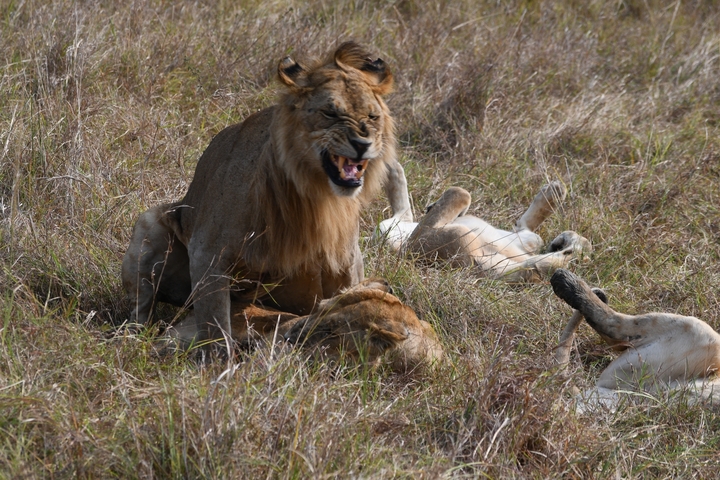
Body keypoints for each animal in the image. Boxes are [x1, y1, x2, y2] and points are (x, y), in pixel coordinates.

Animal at [122, 42, 413, 349]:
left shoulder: (346, 261)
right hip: (150, 225)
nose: (361, 143)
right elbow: (216, 326)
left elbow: (348, 296)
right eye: (330, 113)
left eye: (372, 116)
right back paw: (134, 338)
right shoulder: (207, 254)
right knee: (142, 308)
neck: (315, 196)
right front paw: (217, 358)